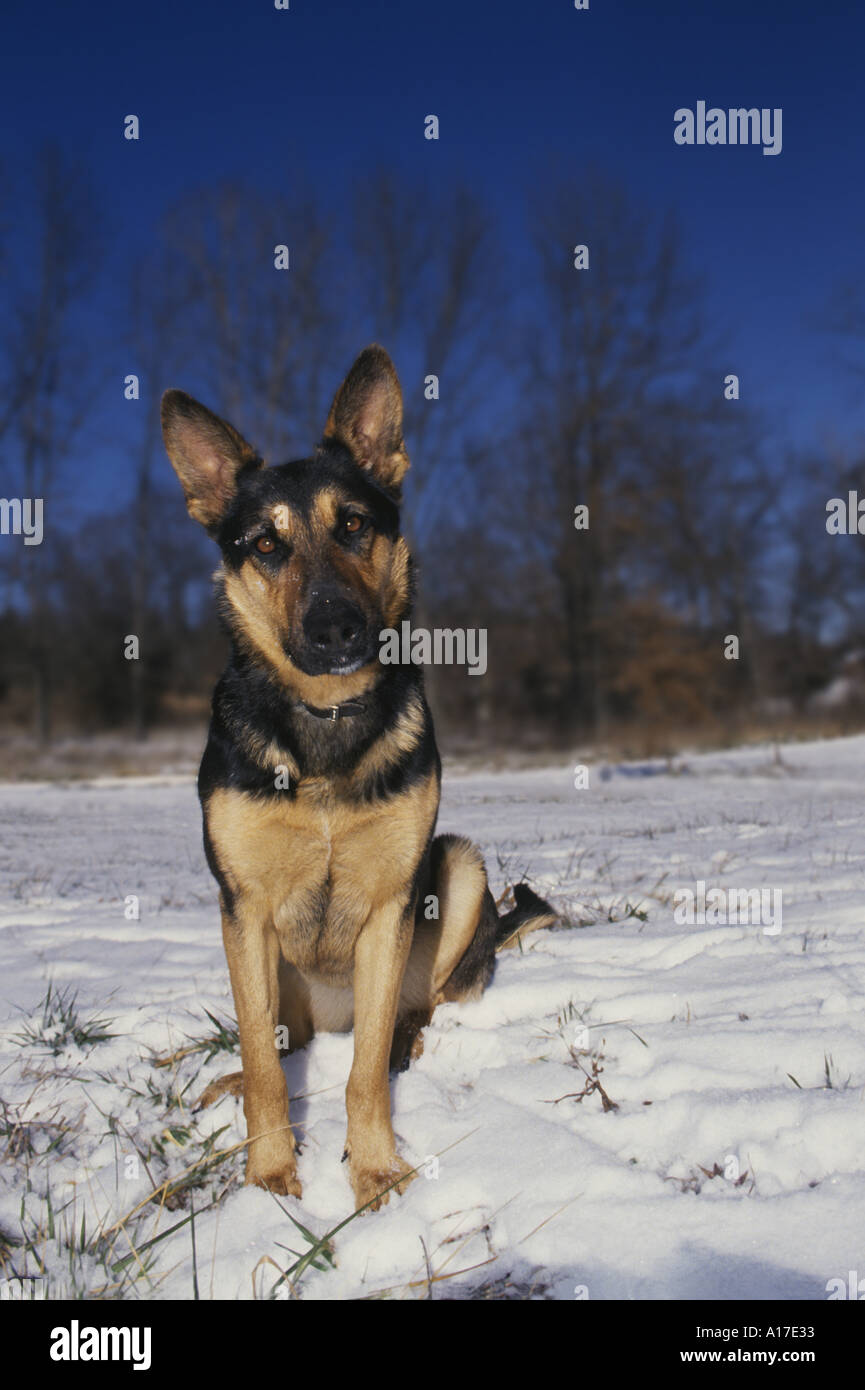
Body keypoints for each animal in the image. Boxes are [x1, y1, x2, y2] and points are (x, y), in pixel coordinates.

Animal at [162, 350, 556, 1217]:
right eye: (264, 545)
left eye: (353, 525)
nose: (336, 627)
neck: (324, 720)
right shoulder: (242, 909)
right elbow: (269, 1068)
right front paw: (269, 1178)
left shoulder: (390, 906)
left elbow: (365, 1073)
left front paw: (373, 1170)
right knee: (283, 1043)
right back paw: (233, 1081)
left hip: (458, 869)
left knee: (414, 1011)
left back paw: (410, 1039)